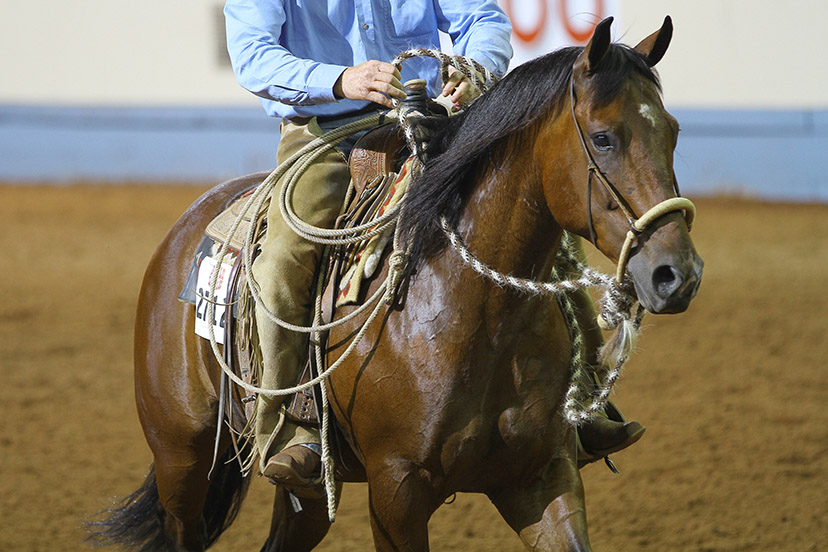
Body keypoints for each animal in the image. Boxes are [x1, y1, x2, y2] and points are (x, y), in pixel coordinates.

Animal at [89, 16, 700, 552]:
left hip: (311, 492)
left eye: (673, 132)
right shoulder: (396, 491)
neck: (475, 314)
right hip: (181, 459)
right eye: (603, 138)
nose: (677, 274)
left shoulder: (542, 475)